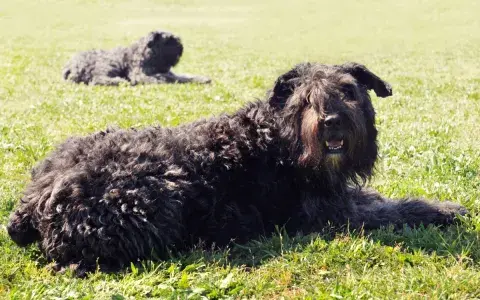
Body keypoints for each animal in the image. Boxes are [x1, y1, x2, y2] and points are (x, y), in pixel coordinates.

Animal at [7, 62, 466, 276]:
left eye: (349, 91)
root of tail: (32, 201)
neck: (277, 141)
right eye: (305, 98)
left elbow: (379, 199)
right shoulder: (331, 215)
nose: (332, 121)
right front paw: (442, 211)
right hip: (153, 201)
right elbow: (391, 211)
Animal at [62, 30, 210, 85]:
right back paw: (120, 81)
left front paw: (202, 78)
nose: (181, 46)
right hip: (108, 65)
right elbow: (166, 78)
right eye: (168, 40)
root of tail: (69, 65)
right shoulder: (140, 75)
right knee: (97, 80)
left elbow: (185, 76)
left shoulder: (169, 73)